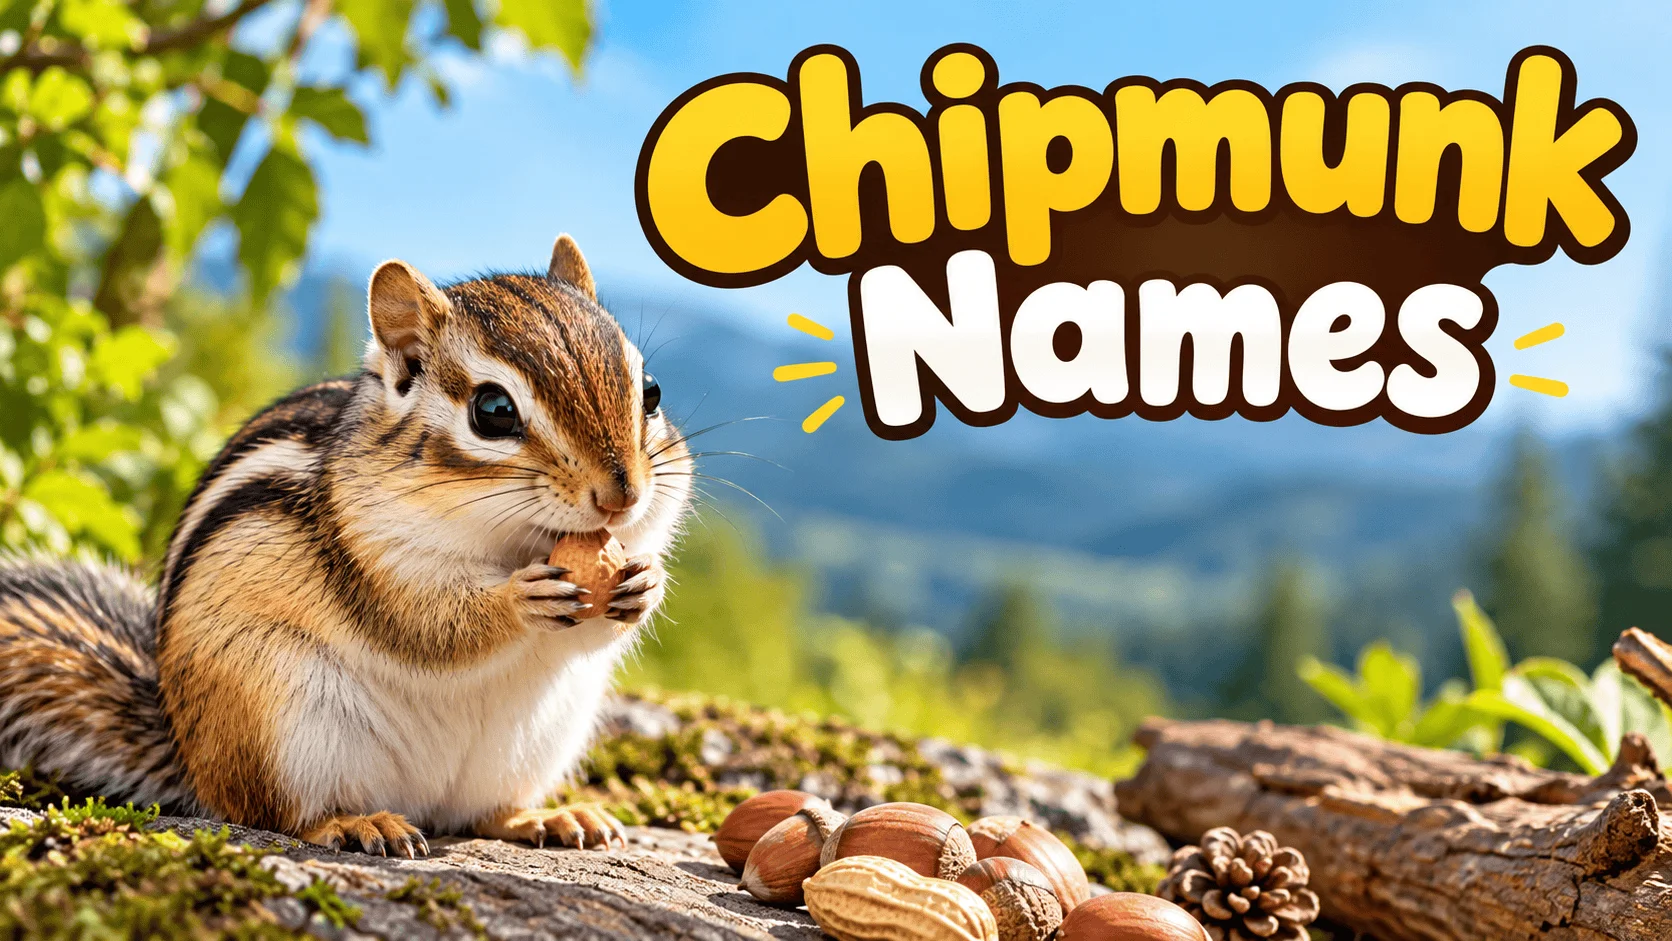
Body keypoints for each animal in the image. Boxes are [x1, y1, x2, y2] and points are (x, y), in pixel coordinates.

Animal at [0, 235, 692, 856]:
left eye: (652, 392)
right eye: (493, 410)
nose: (622, 496)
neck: (511, 541)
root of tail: (186, 751)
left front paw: (645, 583)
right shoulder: (365, 551)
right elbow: (425, 625)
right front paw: (518, 602)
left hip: (537, 741)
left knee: (483, 813)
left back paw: (547, 818)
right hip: (276, 720)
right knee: (273, 813)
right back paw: (354, 823)